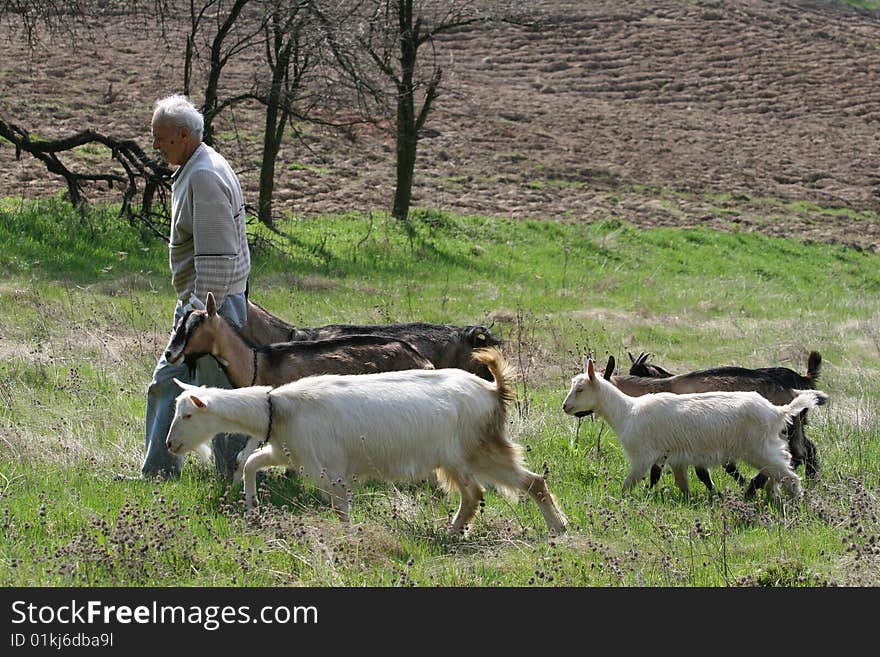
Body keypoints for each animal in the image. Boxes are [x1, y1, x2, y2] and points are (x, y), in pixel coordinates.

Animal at [164, 348, 568, 532]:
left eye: (188, 415)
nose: (169, 445)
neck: (279, 407)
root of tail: (492, 389)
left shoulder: (330, 471)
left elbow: (341, 508)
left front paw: (348, 539)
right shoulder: (289, 453)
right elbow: (250, 462)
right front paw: (250, 508)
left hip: (477, 449)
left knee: (519, 484)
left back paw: (554, 529)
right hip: (460, 458)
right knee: (486, 492)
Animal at [560, 356, 828, 500]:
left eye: (580, 389)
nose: (565, 406)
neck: (628, 409)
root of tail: (777, 410)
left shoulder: (644, 457)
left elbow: (630, 483)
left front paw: (621, 499)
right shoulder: (676, 457)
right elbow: (683, 482)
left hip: (760, 449)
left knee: (790, 472)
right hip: (776, 444)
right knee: (791, 463)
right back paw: (772, 496)